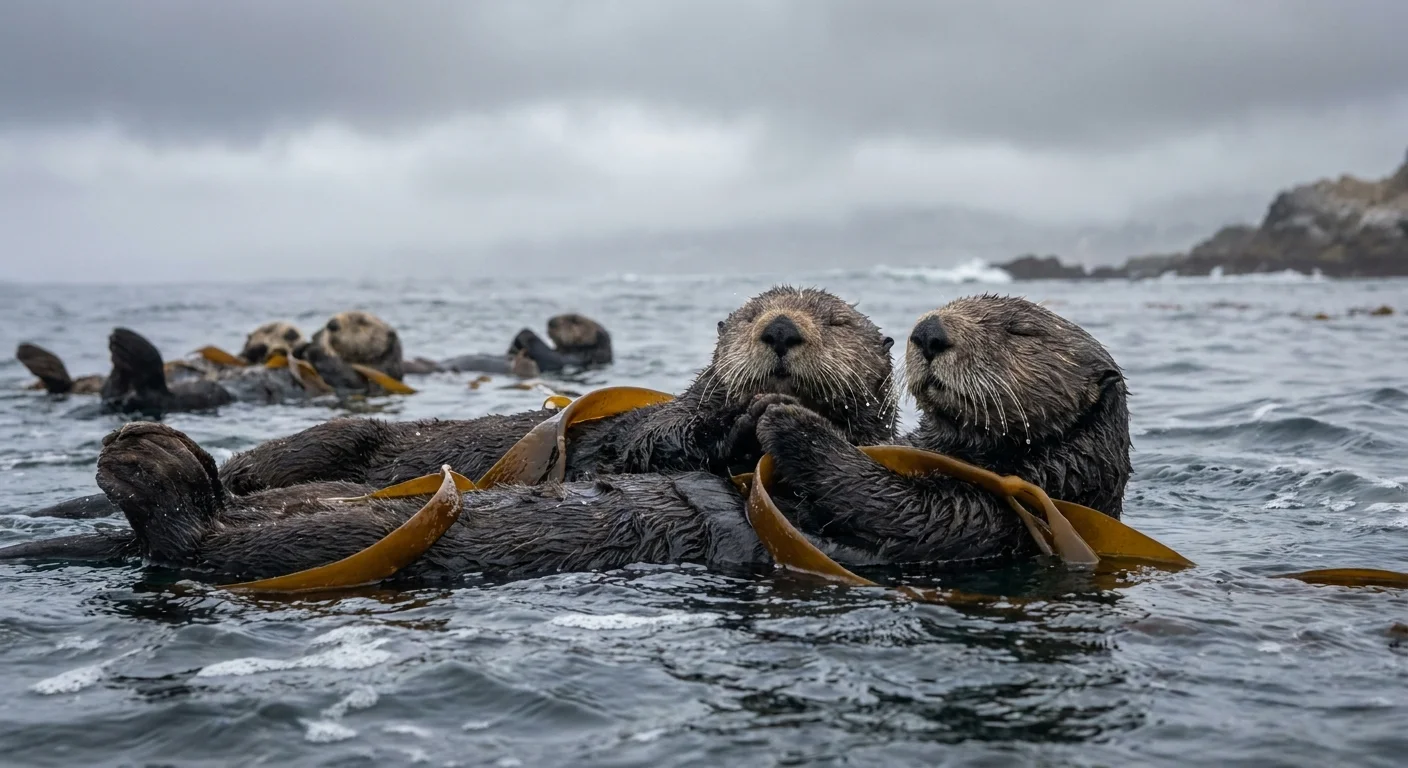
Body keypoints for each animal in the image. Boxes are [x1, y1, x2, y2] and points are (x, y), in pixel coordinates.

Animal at [404, 313, 613, 378]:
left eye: (574, 320)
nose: (550, 322)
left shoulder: (570, 358)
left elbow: (547, 353)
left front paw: (524, 334)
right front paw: (513, 347)